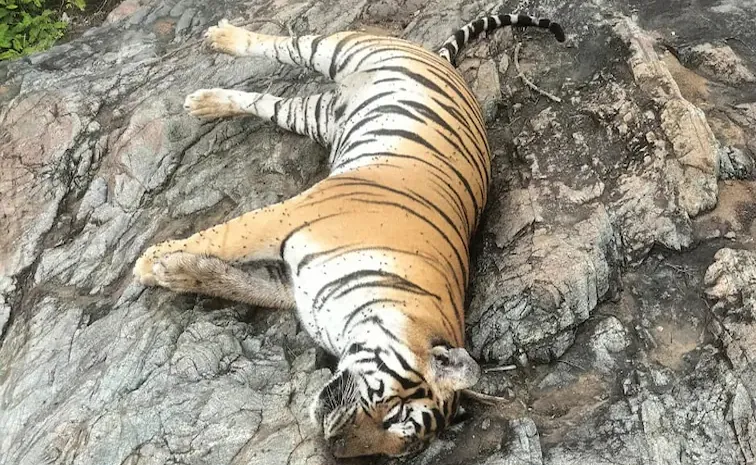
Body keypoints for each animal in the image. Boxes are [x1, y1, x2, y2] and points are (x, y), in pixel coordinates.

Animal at [132, 13, 565, 458]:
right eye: (395, 414)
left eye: (396, 450)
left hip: (313, 115)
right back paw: (221, 38)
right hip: (338, 50)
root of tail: (444, 63)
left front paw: (174, 272)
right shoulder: (287, 218)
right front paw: (149, 262)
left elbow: (234, 282)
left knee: (267, 104)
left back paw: (205, 102)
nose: (334, 445)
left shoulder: (290, 286)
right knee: (280, 44)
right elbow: (225, 238)